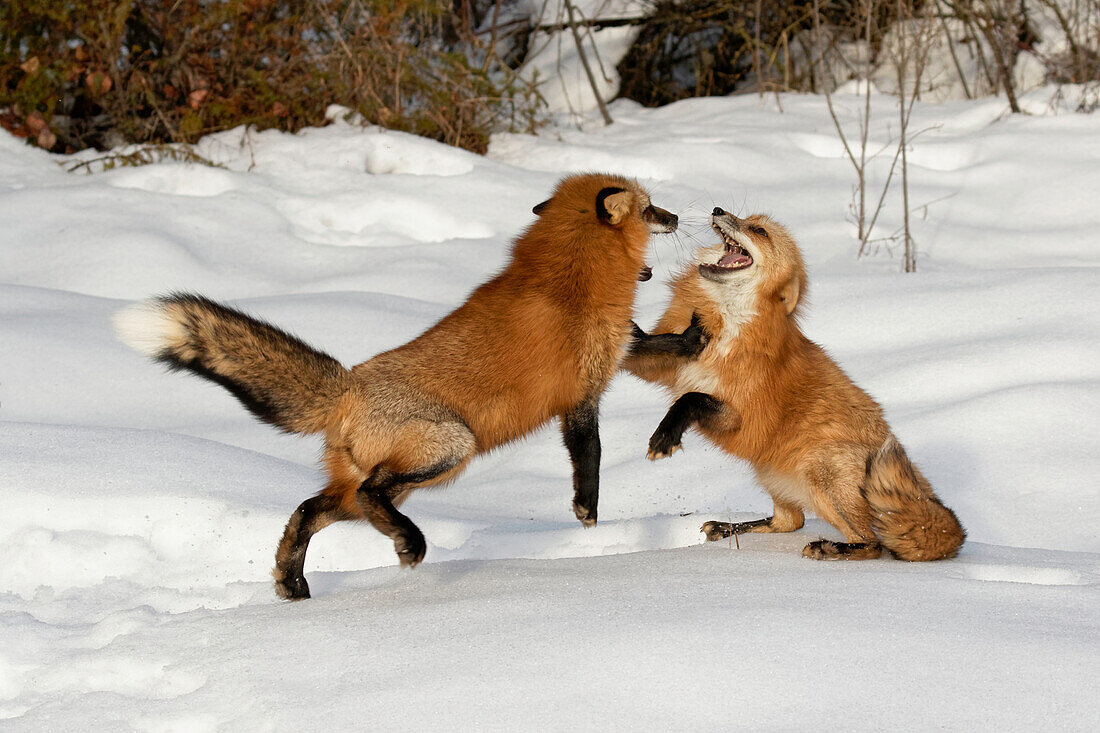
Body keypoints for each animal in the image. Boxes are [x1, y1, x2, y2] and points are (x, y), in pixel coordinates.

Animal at [122, 173, 686, 598]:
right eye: (651, 209)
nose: (678, 217)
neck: (572, 277)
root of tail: (348, 387)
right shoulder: (581, 396)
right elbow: (590, 461)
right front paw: (590, 522)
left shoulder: (622, 349)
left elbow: (667, 346)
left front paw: (694, 335)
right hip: (449, 447)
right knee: (370, 494)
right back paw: (409, 544)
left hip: (377, 483)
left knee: (307, 510)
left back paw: (292, 582)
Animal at [624, 206, 968, 559]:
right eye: (744, 217)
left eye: (759, 231)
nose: (718, 210)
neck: (728, 322)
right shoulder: (662, 366)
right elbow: (650, 351)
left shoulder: (744, 416)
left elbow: (691, 398)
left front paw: (665, 436)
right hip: (770, 473)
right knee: (789, 522)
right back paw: (727, 528)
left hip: (824, 473)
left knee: (873, 544)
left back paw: (831, 548)